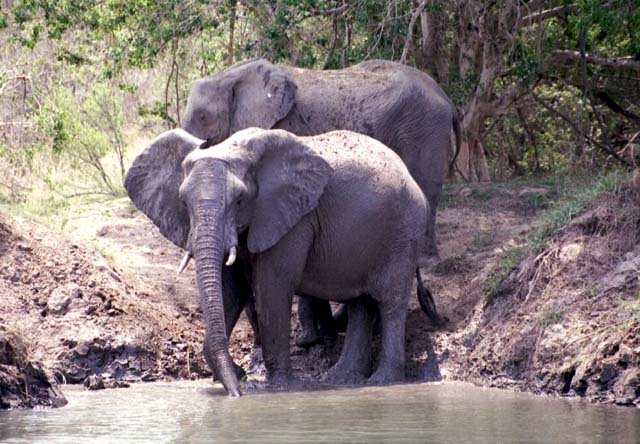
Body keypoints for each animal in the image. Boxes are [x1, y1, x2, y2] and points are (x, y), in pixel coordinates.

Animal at [124, 127, 436, 396]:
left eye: (240, 200)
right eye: (183, 203)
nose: (238, 391)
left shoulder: (294, 218)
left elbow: (271, 287)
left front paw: (280, 388)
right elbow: (229, 289)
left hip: (403, 234)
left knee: (390, 301)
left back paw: (383, 382)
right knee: (361, 303)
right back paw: (342, 379)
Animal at [182, 56, 458, 346]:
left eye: (203, 116)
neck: (229, 76)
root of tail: (446, 99)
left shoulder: (286, 127)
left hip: (425, 132)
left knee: (426, 190)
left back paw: (428, 261)